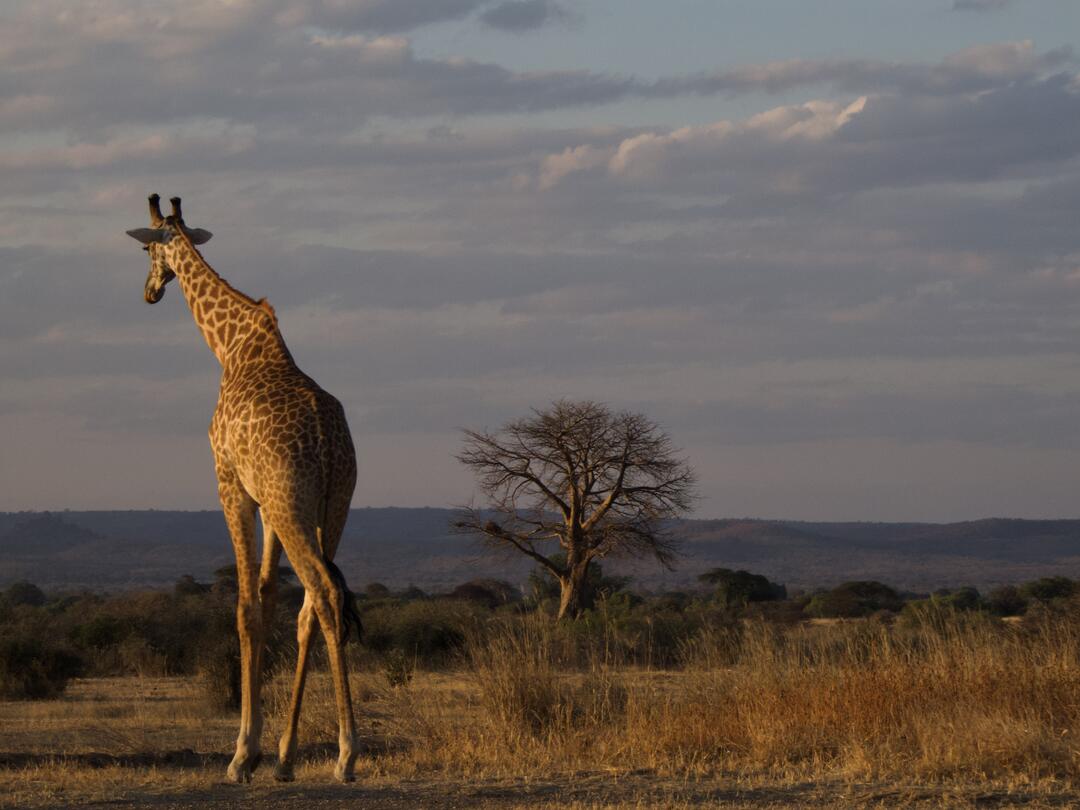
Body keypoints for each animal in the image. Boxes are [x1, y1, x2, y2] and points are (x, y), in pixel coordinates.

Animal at [126, 193, 362, 781]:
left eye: (147, 249)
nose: (149, 291)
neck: (231, 347)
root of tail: (327, 442)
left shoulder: (230, 484)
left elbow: (245, 607)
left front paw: (241, 754)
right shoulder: (266, 501)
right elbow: (271, 596)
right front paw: (273, 752)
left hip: (292, 506)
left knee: (324, 593)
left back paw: (347, 752)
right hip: (329, 506)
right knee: (313, 603)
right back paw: (291, 756)